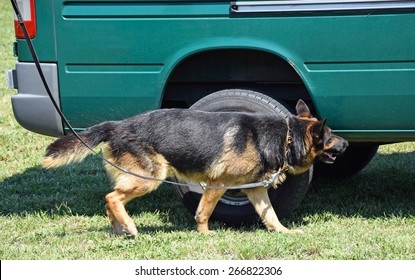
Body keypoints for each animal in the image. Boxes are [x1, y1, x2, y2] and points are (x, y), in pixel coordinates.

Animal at [43, 100, 348, 236]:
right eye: (330, 136)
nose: (346, 144)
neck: (284, 138)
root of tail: (117, 125)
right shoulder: (218, 184)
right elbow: (204, 212)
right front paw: (205, 235)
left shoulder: (256, 191)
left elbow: (270, 215)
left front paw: (284, 232)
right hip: (149, 177)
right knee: (112, 197)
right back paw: (129, 226)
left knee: (110, 201)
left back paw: (121, 229)